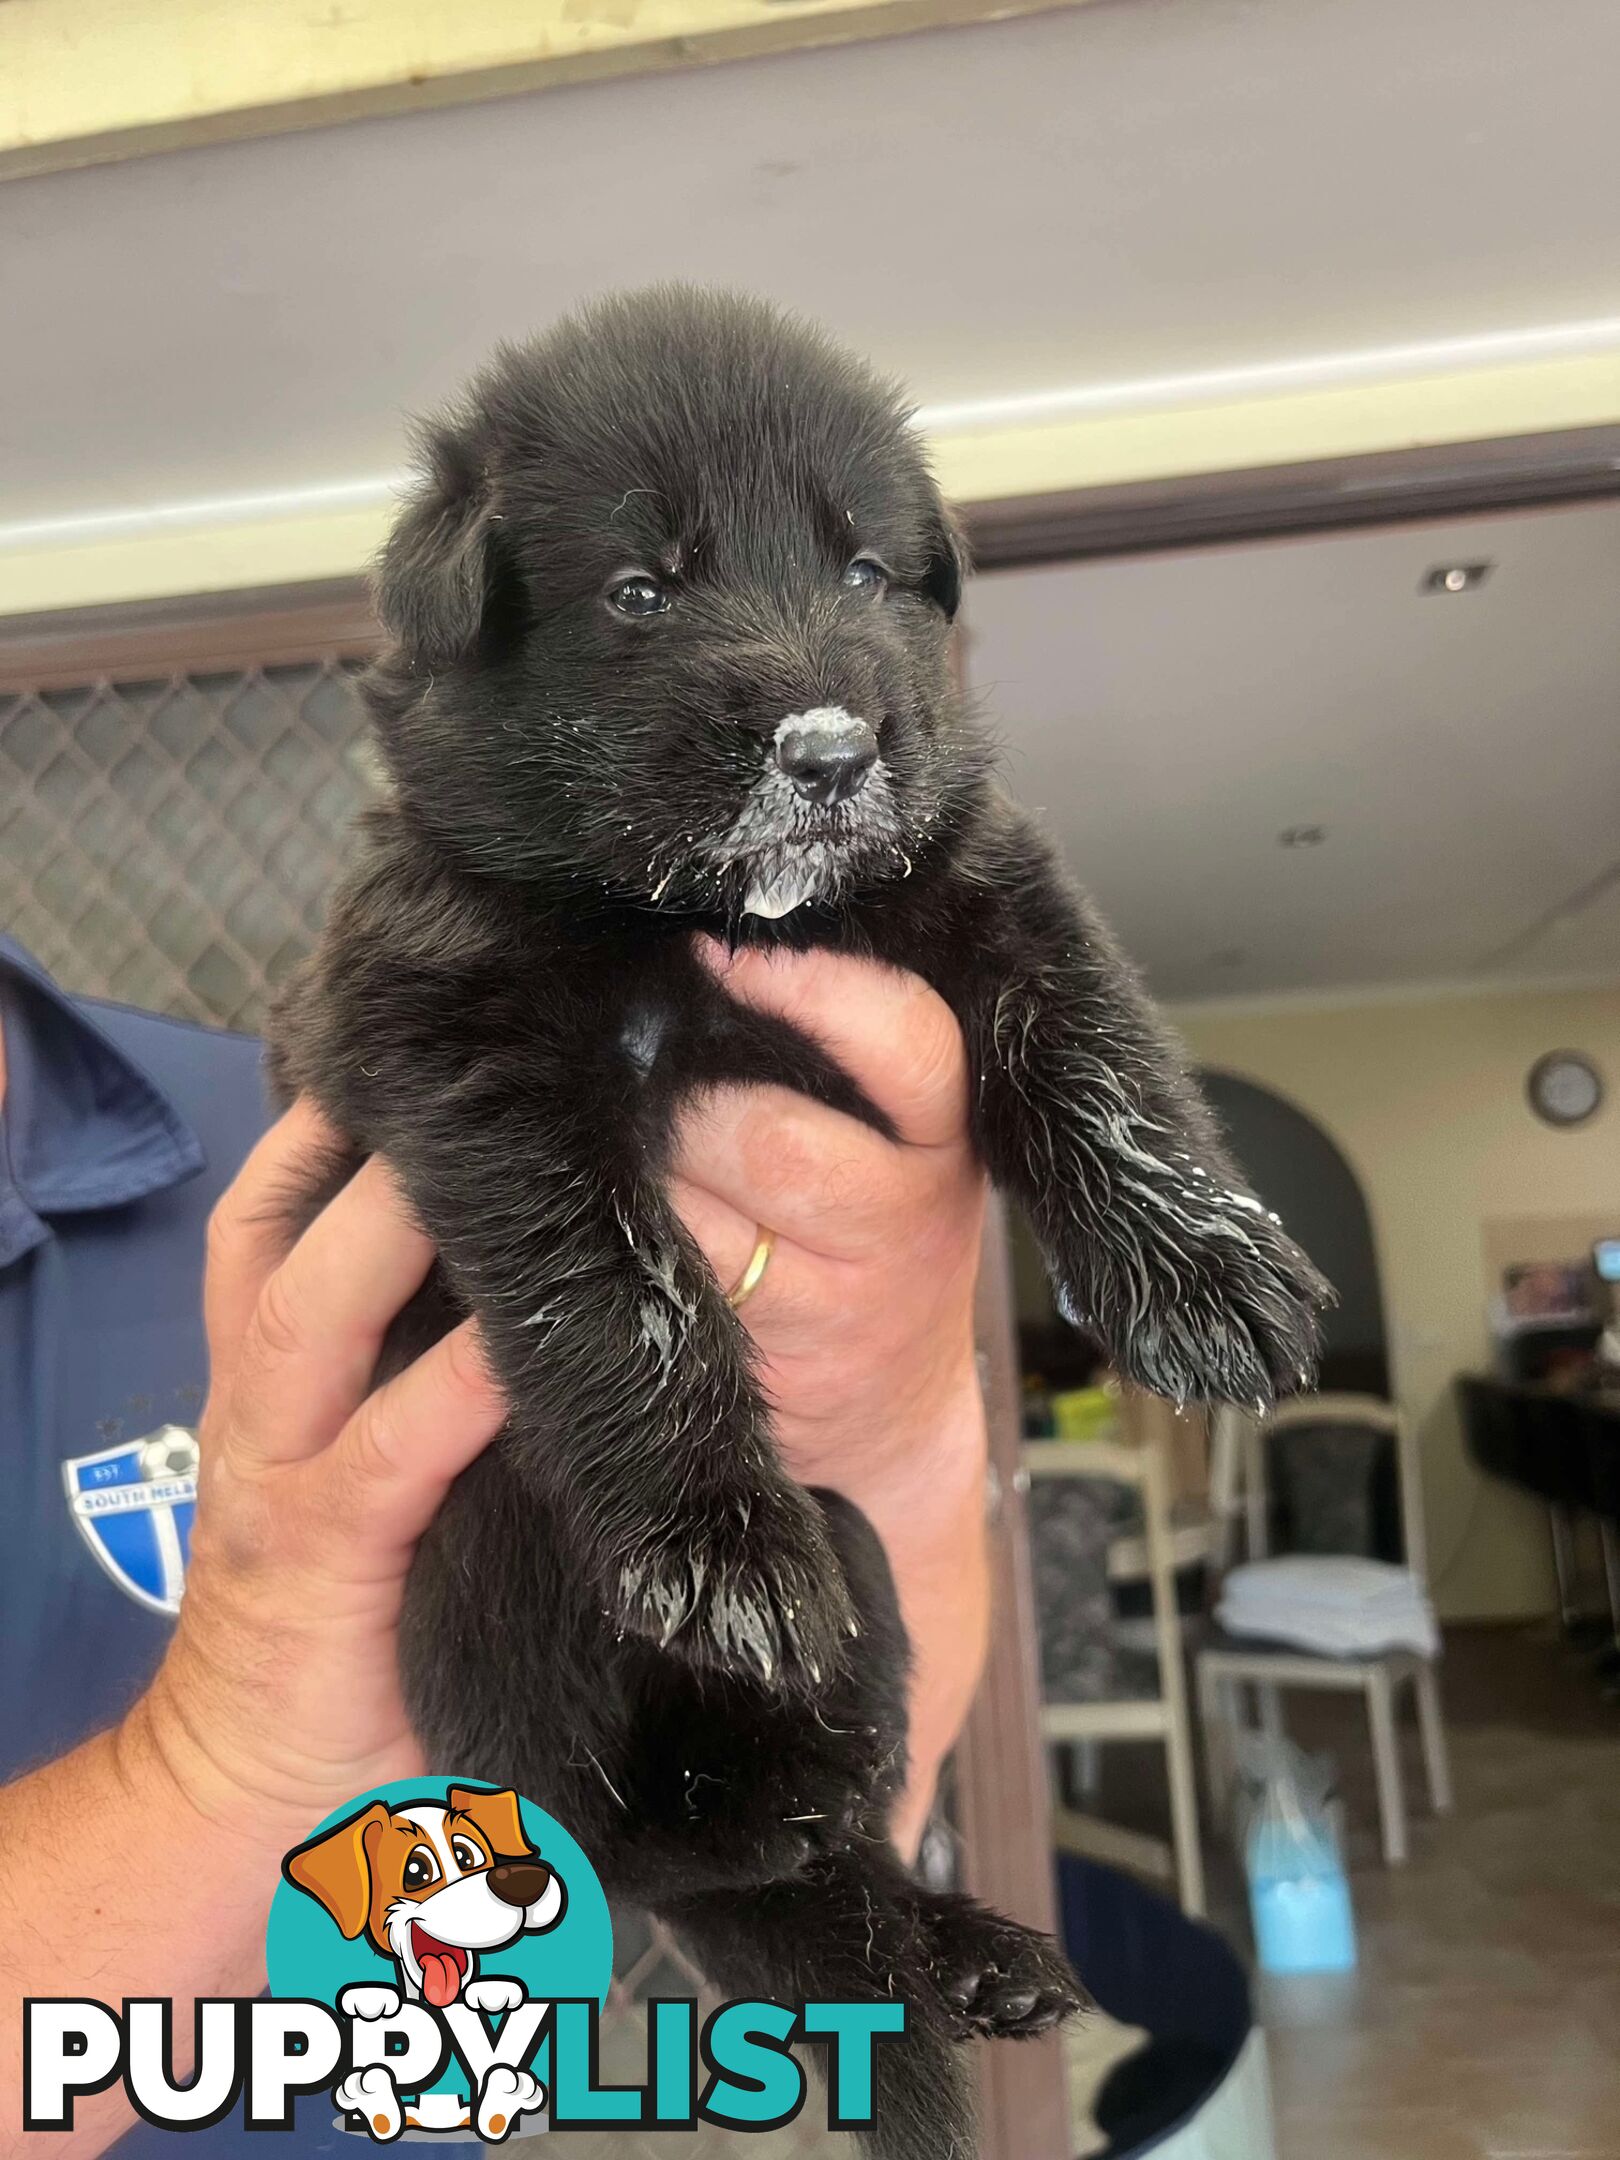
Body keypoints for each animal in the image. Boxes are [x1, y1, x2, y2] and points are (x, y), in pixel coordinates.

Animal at [270, 287, 1330, 2160]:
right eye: (642, 588)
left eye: (864, 568)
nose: (831, 753)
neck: (705, 923)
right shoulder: (469, 1044)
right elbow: (625, 1285)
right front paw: (719, 1543)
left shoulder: (985, 885)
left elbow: (1098, 1046)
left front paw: (1209, 1272)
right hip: (485, 1554)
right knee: (605, 1836)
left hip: (871, 1571)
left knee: (821, 1856)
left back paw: (952, 1938)